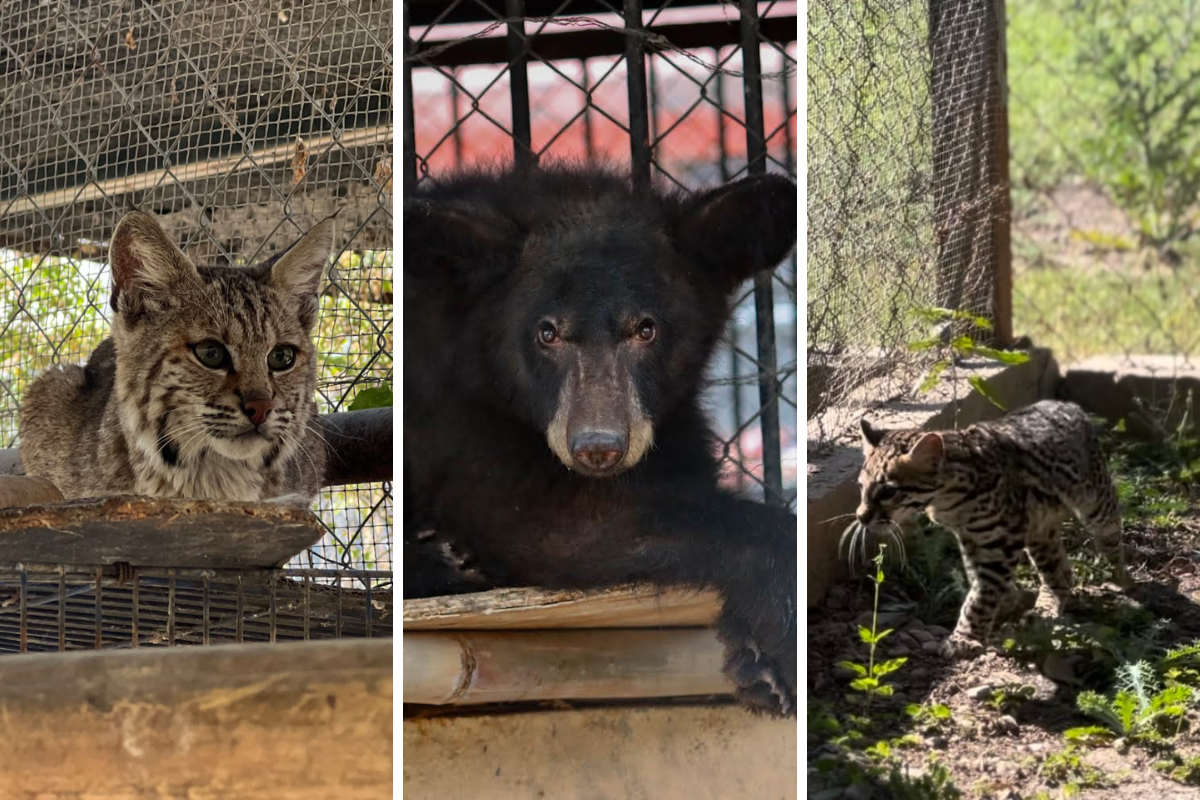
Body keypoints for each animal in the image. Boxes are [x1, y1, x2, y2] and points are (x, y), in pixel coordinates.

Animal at [403, 164, 796, 719]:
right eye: (547, 333)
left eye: (646, 329)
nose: (598, 446)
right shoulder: (452, 419)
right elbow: (544, 522)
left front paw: (758, 660)